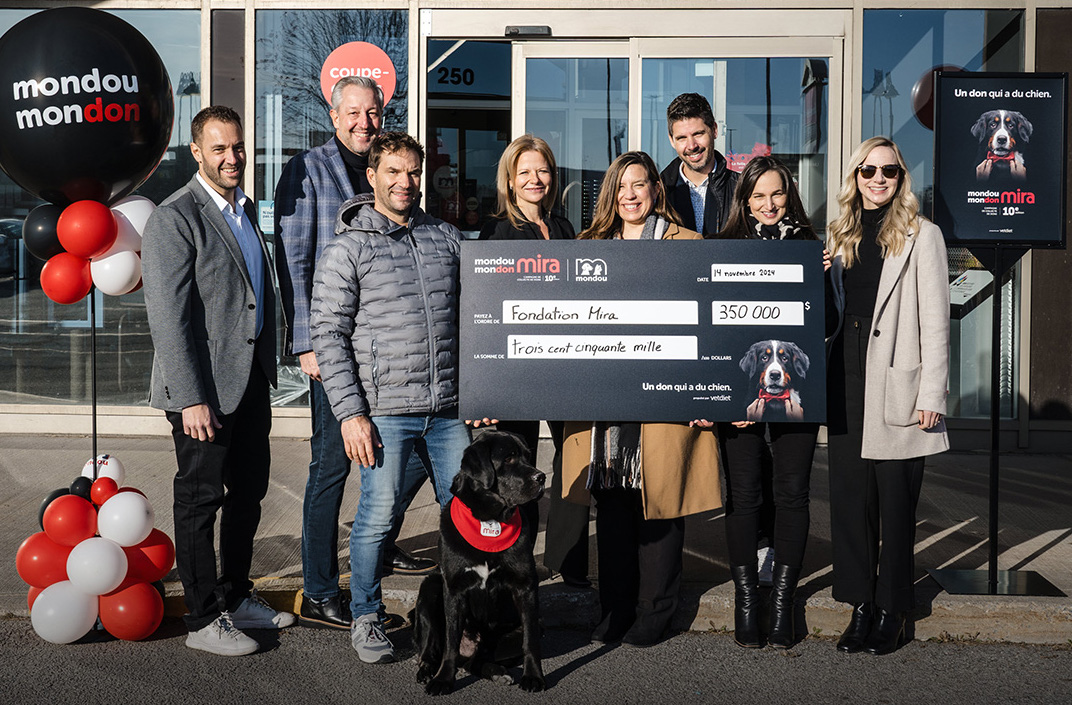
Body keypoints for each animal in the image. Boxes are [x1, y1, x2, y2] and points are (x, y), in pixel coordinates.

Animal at [409, 428, 544, 690]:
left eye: (527, 455)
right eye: (509, 458)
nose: (541, 477)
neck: (490, 520)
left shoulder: (526, 587)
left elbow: (531, 641)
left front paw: (534, 676)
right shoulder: (454, 589)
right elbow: (450, 642)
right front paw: (443, 679)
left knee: (476, 661)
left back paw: (497, 671)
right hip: (430, 587)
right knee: (432, 649)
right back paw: (428, 671)